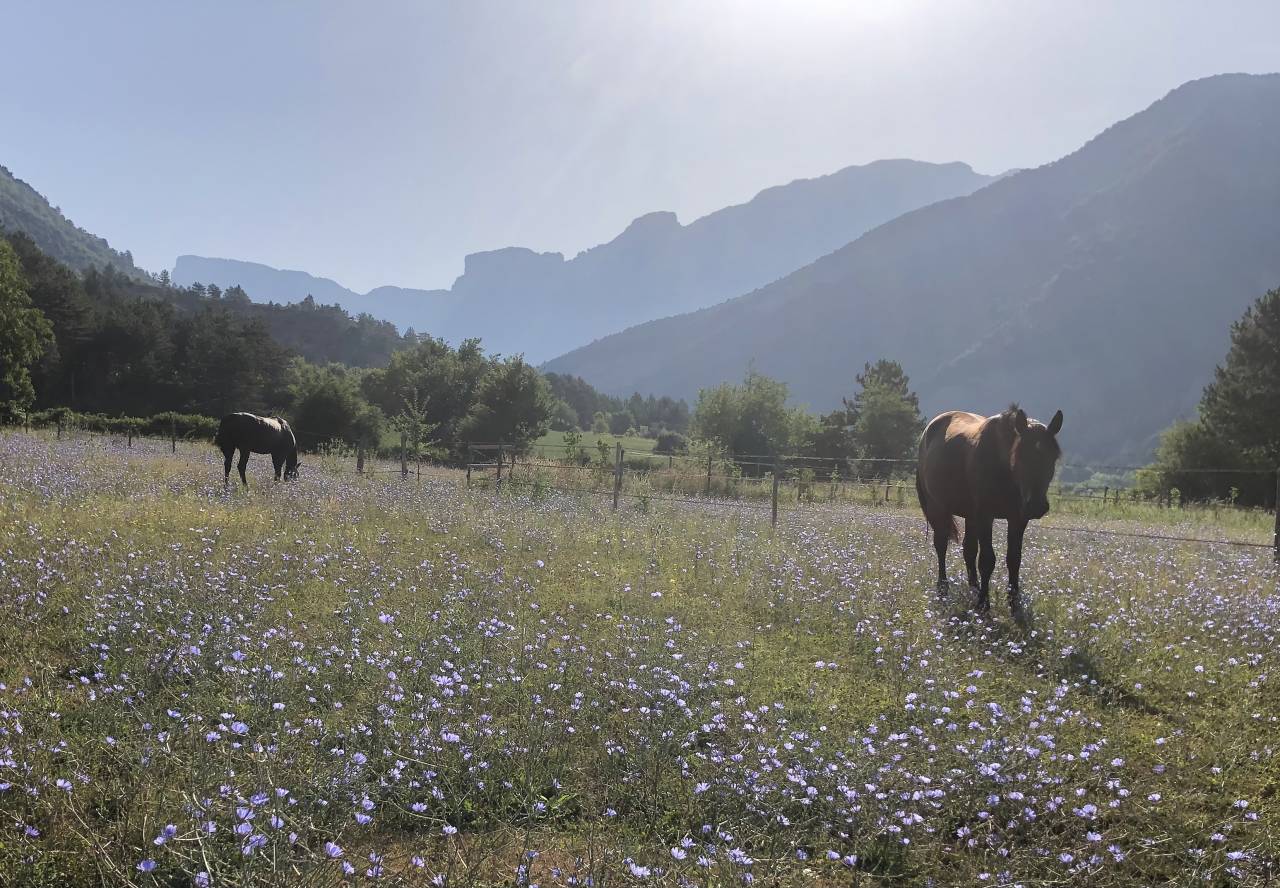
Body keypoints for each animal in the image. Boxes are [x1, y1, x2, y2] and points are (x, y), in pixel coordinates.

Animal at [915, 404, 1063, 615]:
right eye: (1020, 456)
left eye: (1053, 457)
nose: (1036, 505)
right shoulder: (985, 516)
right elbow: (987, 560)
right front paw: (983, 604)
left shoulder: (1018, 519)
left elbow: (1014, 559)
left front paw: (1014, 602)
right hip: (938, 507)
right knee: (941, 545)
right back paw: (943, 587)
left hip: (970, 515)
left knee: (968, 550)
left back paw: (973, 587)